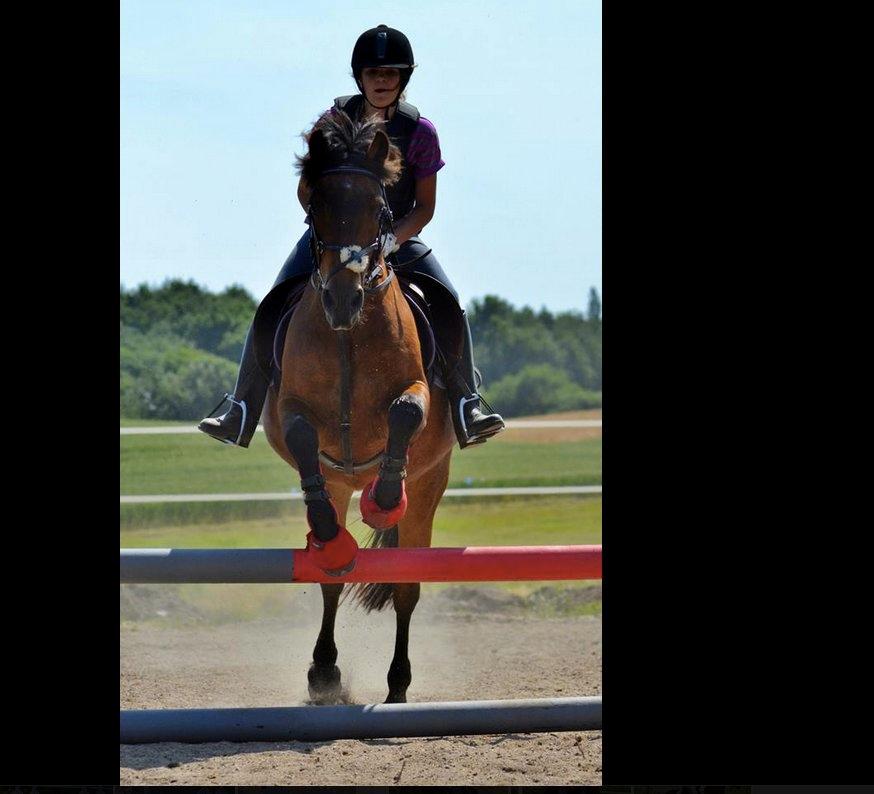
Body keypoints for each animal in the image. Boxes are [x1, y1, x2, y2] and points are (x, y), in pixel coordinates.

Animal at [260, 110, 456, 700]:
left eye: (378, 206)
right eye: (317, 203)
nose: (342, 300)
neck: (350, 334)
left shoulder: (416, 390)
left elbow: (405, 413)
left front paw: (383, 501)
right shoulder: (292, 407)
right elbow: (303, 435)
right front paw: (327, 530)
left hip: (431, 485)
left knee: (407, 585)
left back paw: (397, 685)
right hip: (338, 480)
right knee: (332, 575)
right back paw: (324, 671)